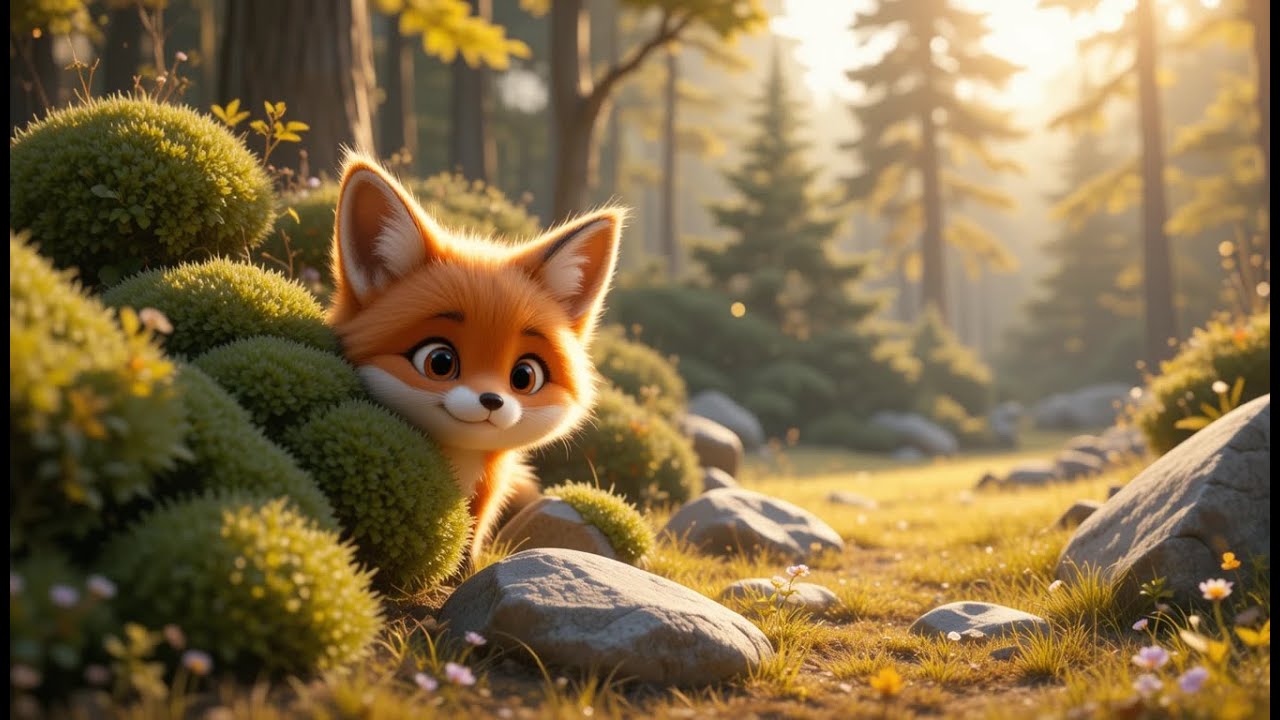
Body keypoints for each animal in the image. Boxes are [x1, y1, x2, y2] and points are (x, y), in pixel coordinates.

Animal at [327, 154, 622, 562]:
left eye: (524, 376)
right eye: (440, 362)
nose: (492, 400)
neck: (462, 466)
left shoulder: (486, 498)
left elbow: (471, 547)